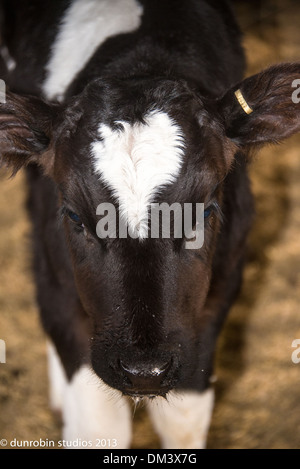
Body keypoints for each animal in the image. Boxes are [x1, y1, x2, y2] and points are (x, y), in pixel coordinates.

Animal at [0, 0, 300, 448]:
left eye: (206, 210)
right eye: (74, 215)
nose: (143, 371)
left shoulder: (220, 290)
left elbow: (183, 421)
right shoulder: (55, 281)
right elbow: (98, 429)